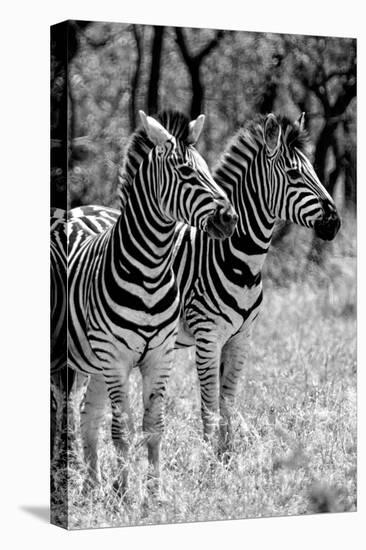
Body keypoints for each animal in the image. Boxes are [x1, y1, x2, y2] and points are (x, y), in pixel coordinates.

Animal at [67, 111, 239, 496]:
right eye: (186, 172)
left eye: (208, 169)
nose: (230, 219)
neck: (150, 270)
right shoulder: (116, 360)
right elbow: (121, 431)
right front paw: (124, 492)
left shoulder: (159, 357)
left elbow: (154, 427)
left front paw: (153, 492)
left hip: (94, 362)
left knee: (87, 413)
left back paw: (91, 484)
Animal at [78, 114, 342, 464]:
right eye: (294, 174)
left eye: (312, 169)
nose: (335, 222)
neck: (238, 261)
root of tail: (83, 208)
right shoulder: (208, 337)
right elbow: (209, 406)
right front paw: (209, 460)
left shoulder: (241, 338)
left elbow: (228, 403)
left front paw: (227, 457)